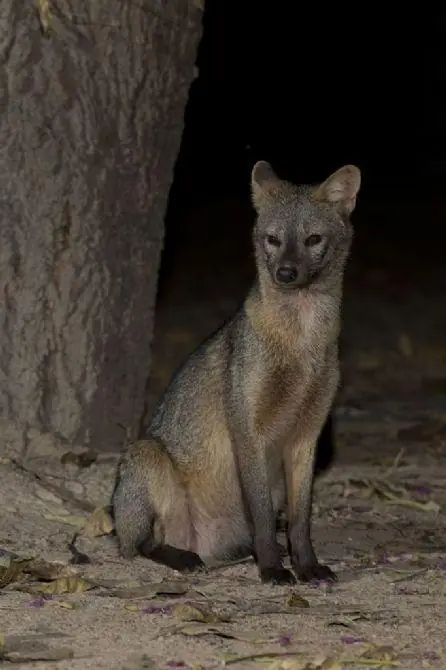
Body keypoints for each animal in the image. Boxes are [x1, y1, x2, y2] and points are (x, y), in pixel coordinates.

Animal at [112, 160, 361, 585]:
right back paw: (183, 557)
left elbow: (300, 521)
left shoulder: (305, 436)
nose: (286, 273)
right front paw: (274, 569)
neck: (301, 344)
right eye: (273, 239)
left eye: (312, 239)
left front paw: (306, 566)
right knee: (144, 545)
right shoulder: (247, 429)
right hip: (148, 457)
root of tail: (203, 544)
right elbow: (262, 518)